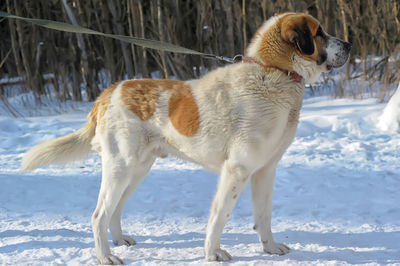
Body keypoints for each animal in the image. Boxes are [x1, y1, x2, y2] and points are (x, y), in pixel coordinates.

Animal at [21, 11, 350, 264]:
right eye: (319, 32)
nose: (348, 43)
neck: (274, 73)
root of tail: (108, 92)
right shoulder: (237, 170)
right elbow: (220, 215)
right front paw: (212, 254)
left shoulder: (264, 170)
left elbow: (264, 215)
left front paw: (269, 248)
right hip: (120, 168)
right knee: (99, 214)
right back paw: (105, 257)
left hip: (137, 170)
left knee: (115, 209)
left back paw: (119, 241)